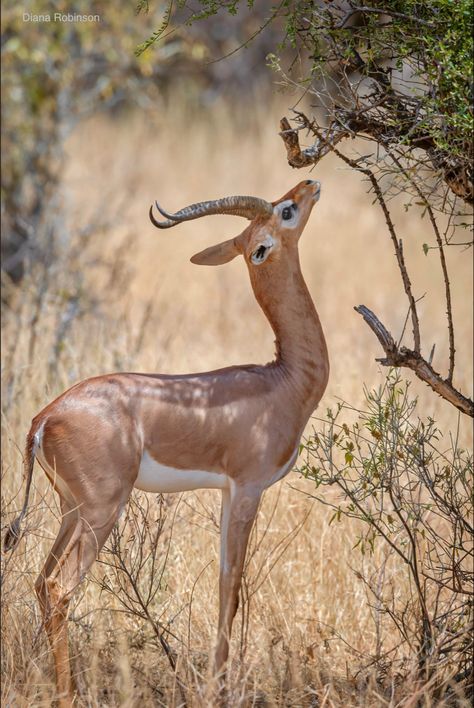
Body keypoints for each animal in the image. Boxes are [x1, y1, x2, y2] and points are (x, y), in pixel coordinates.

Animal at [3, 178, 330, 704]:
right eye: (286, 211)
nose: (310, 182)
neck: (283, 379)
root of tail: (45, 417)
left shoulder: (227, 492)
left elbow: (224, 584)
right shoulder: (248, 488)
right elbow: (231, 585)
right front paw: (219, 688)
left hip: (71, 509)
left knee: (40, 581)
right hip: (103, 510)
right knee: (59, 587)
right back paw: (69, 694)